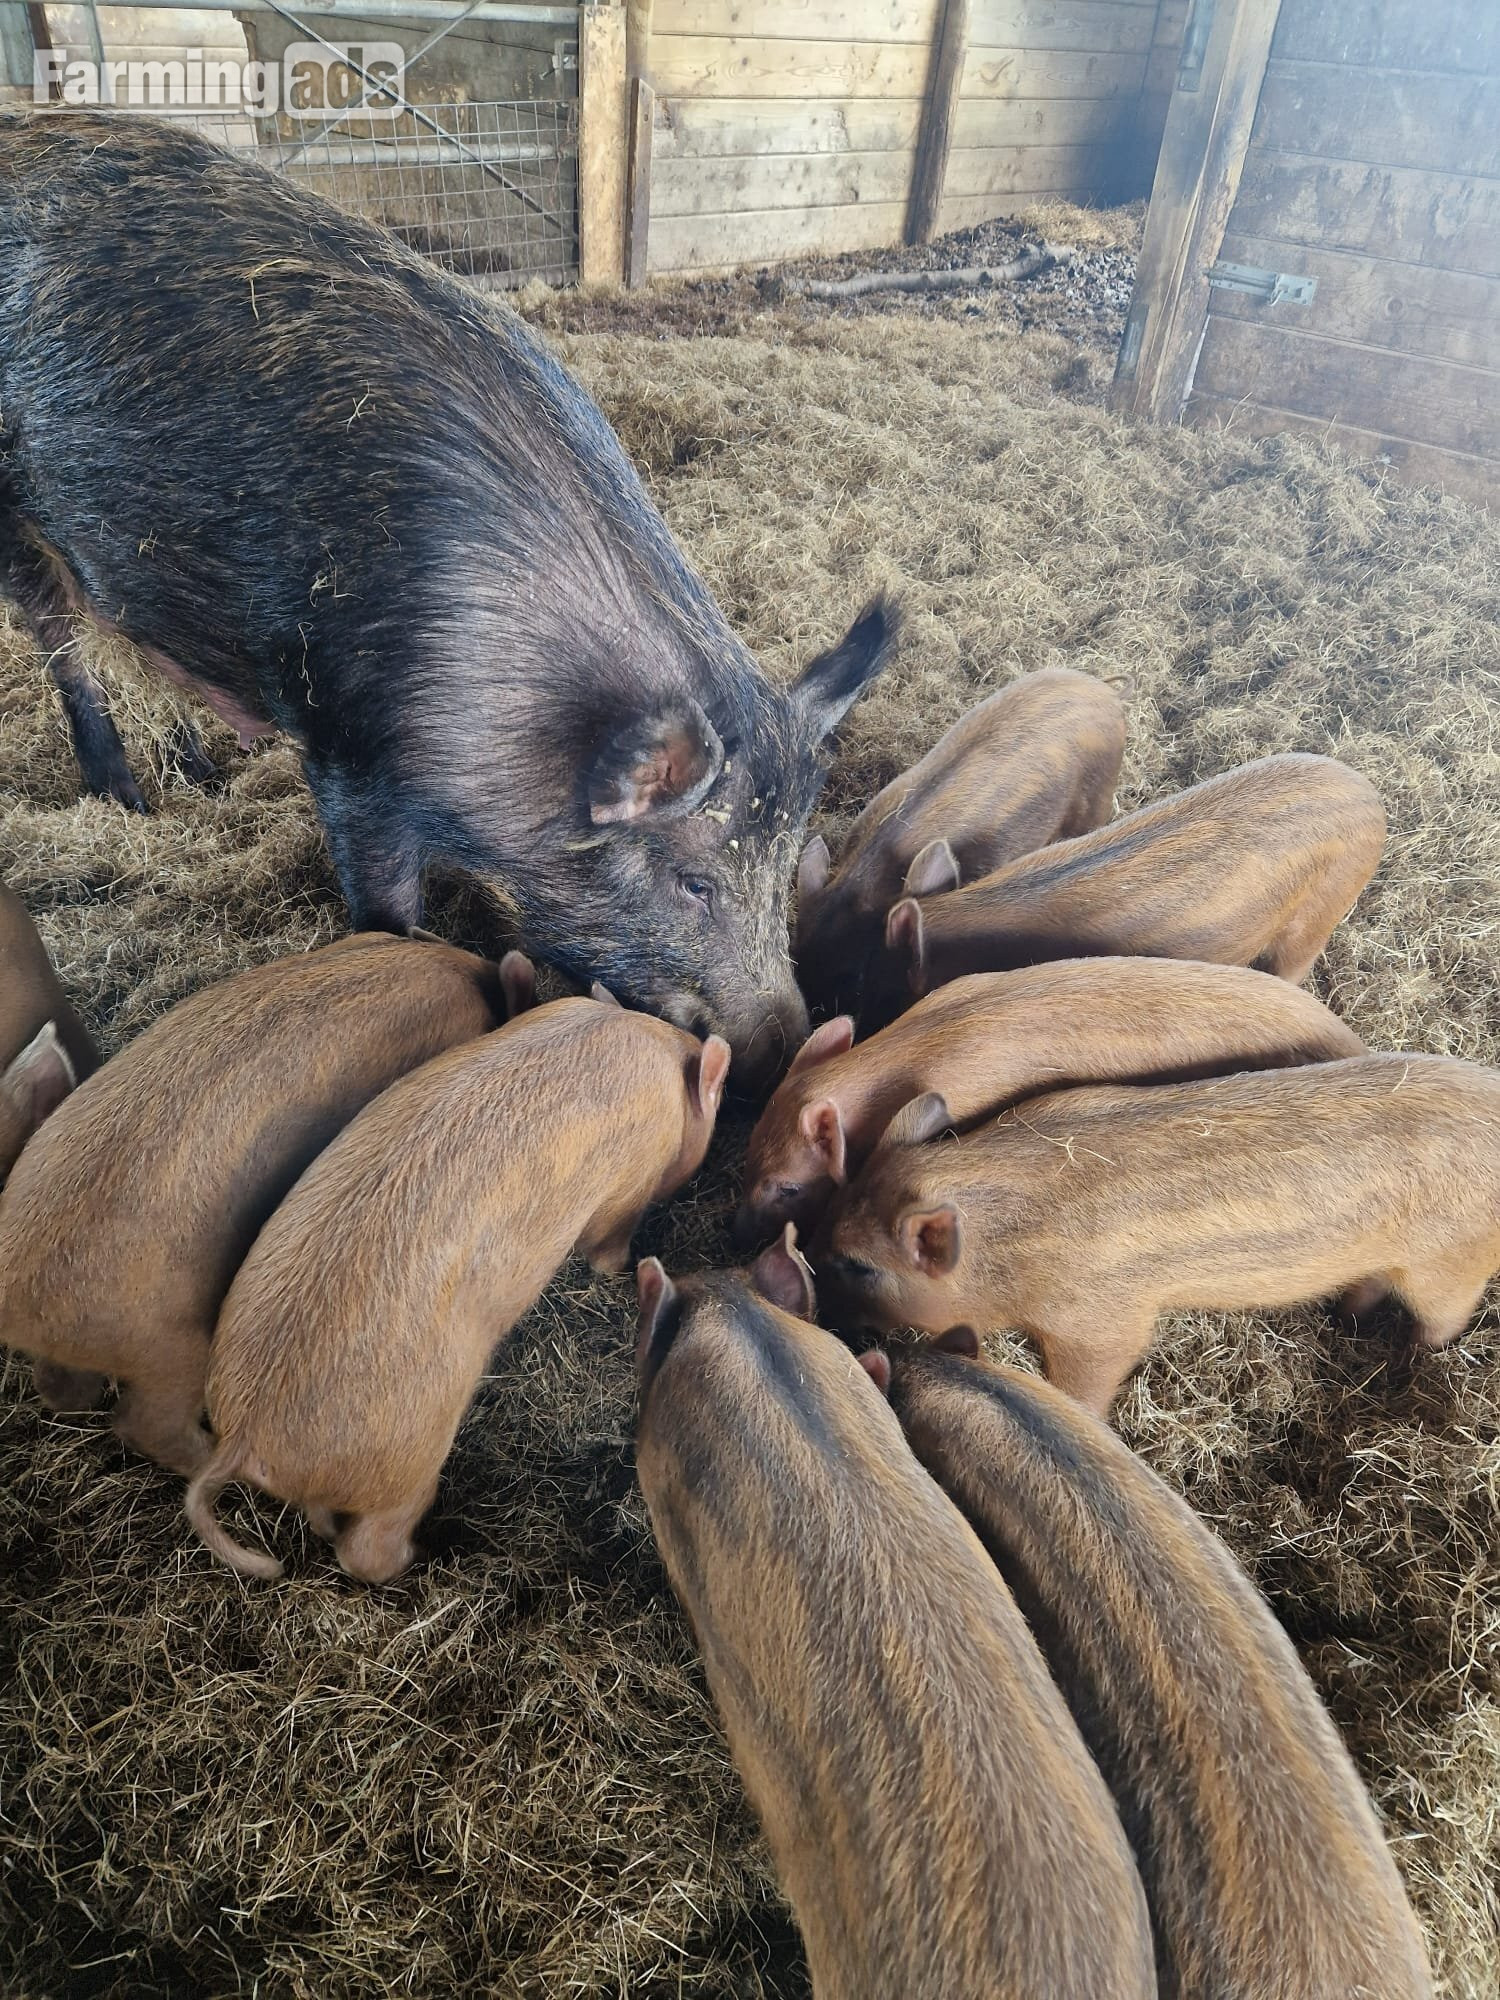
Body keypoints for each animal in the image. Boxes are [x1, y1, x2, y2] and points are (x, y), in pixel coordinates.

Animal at [0, 114, 896, 1091]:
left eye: (783, 872)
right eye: (695, 882)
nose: (792, 1037)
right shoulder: (351, 753)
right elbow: (386, 906)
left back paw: (196, 771)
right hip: (17, 519)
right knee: (63, 645)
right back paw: (123, 798)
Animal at [188, 997, 730, 1583]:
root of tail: (244, 1434)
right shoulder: (626, 1189)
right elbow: (607, 1245)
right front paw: (625, 1268)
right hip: (410, 1456)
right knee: (366, 1549)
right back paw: (425, 1554)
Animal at [814, 1052, 1500, 1415]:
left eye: (860, 1264)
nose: (820, 1305)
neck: (1005, 1246)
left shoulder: (1103, 1323)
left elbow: (1090, 1379)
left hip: (1449, 1264)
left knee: (1444, 1318)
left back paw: (1409, 1359)